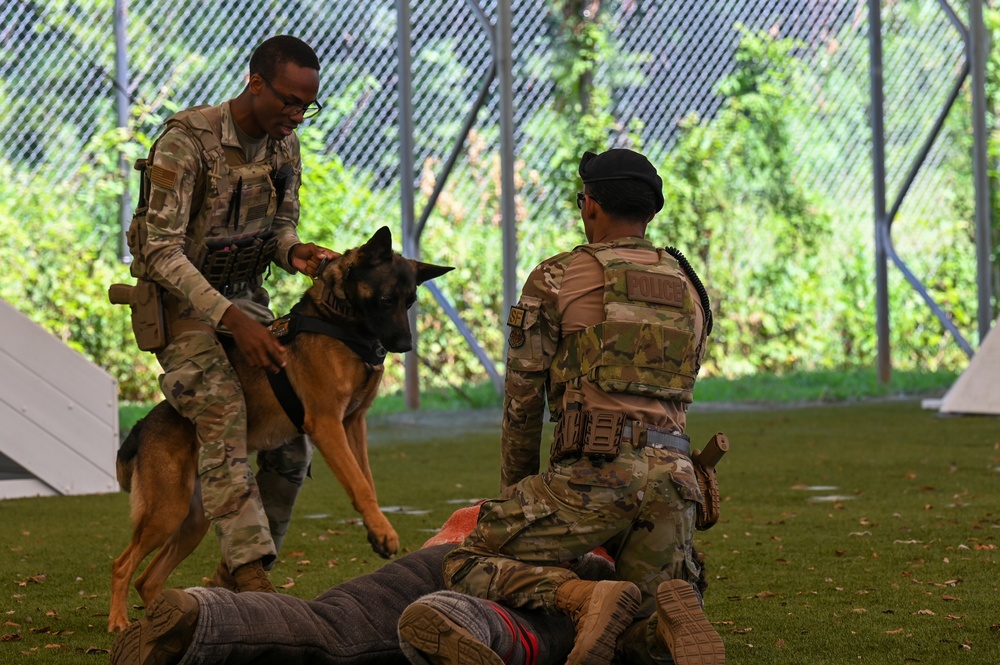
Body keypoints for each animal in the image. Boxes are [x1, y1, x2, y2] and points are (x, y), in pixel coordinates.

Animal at [107, 226, 452, 632]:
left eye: (410, 301)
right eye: (385, 299)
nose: (405, 345)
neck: (339, 319)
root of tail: (142, 425)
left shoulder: (353, 424)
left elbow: (366, 480)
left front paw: (376, 528)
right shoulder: (327, 424)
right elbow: (358, 483)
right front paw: (383, 530)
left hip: (193, 522)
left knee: (148, 579)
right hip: (167, 512)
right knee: (123, 565)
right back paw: (119, 621)